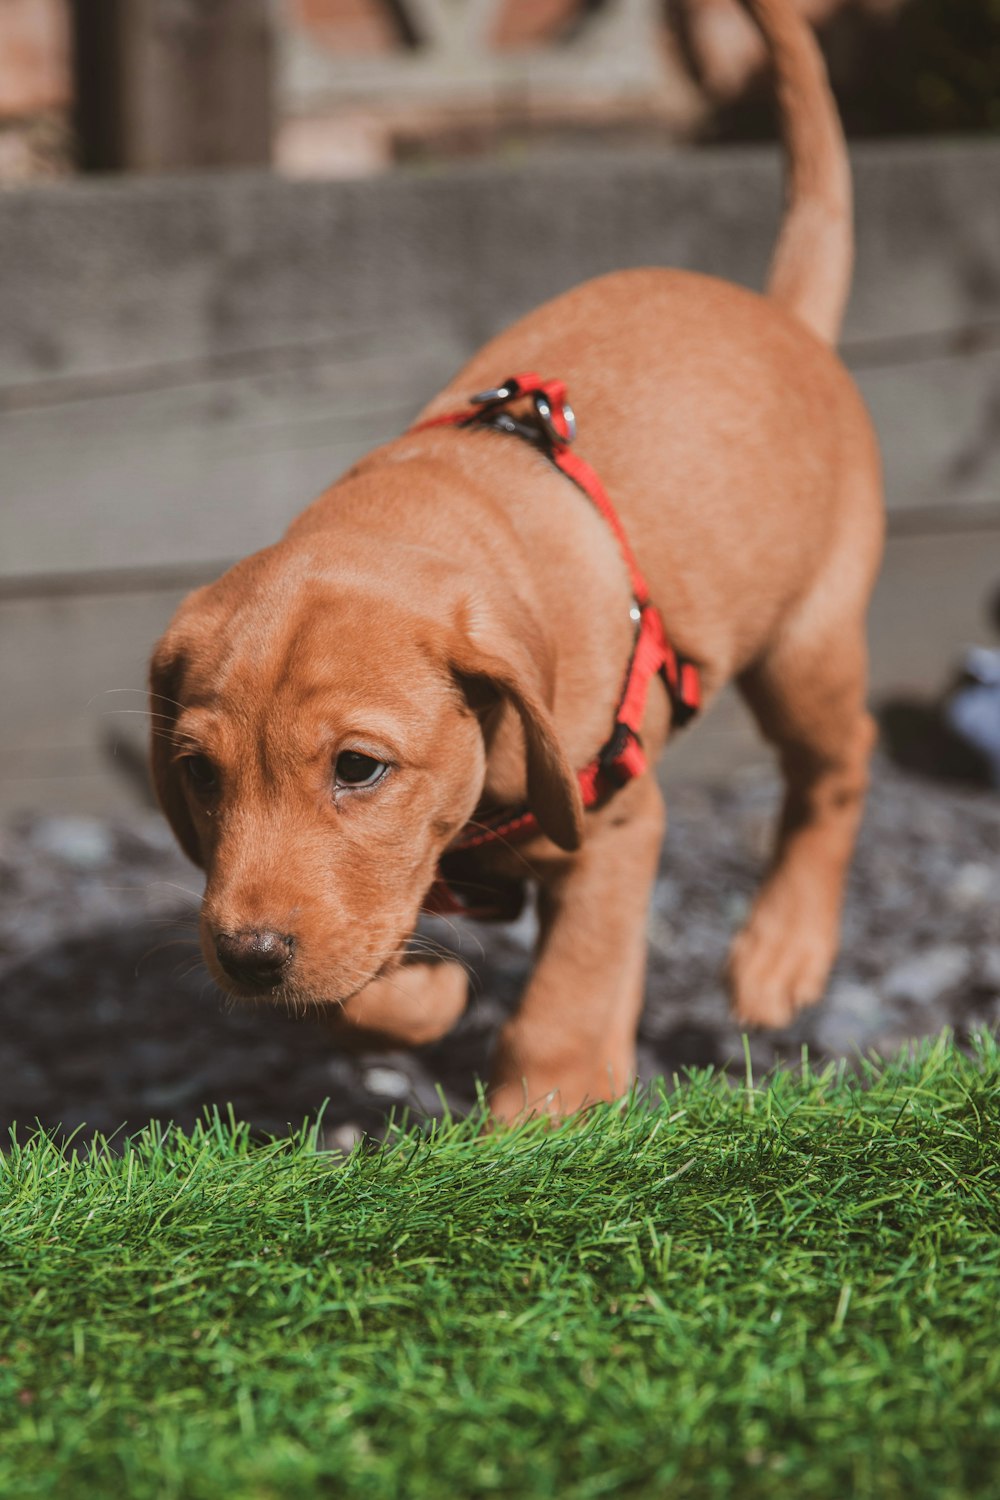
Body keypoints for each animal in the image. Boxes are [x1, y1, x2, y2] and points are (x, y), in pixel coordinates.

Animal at [148, 0, 881, 1122]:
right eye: (196, 772)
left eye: (358, 769)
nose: (247, 956)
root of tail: (782, 317)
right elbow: (358, 981)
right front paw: (421, 998)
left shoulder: (616, 824)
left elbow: (565, 999)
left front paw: (549, 1111)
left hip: (806, 641)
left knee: (836, 768)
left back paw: (782, 949)